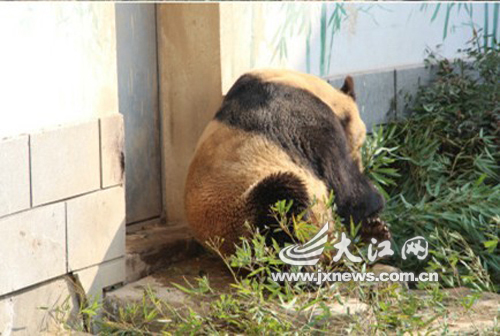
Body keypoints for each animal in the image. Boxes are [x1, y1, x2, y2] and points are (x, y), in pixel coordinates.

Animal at [185, 69, 390, 256]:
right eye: (360, 145)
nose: (362, 164)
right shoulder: (305, 119)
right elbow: (340, 179)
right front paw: (374, 204)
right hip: (243, 206)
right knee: (284, 200)